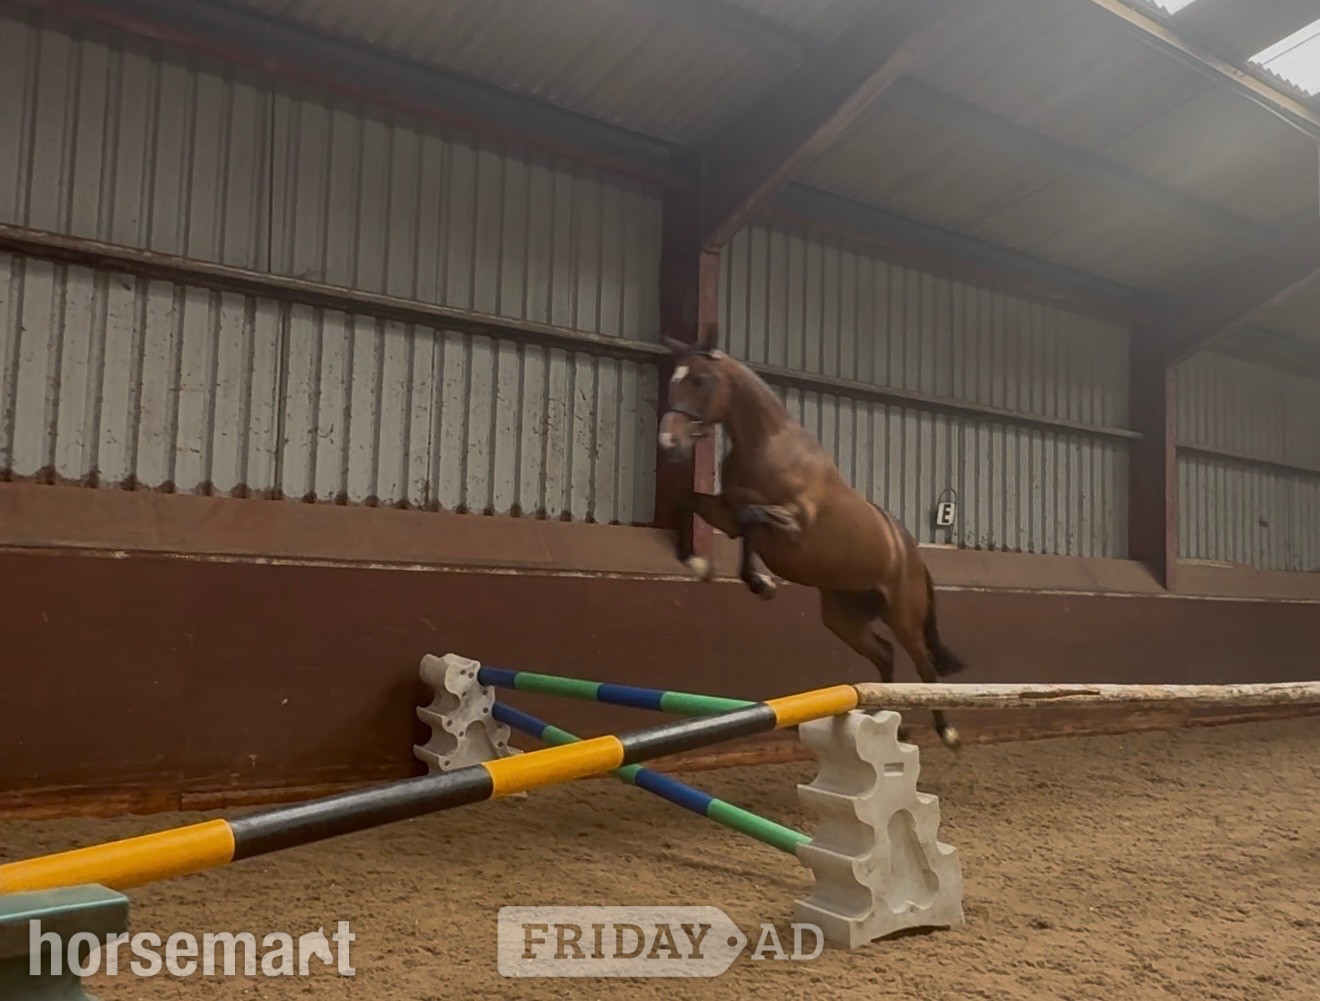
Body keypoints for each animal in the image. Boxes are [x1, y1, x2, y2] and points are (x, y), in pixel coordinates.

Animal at [657, 323, 966, 748]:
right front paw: (701, 564)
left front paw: (762, 583)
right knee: (885, 654)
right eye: (674, 379)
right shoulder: (726, 514)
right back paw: (886, 720)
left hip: (903, 616)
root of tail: (913, 556)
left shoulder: (794, 522)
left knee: (924, 667)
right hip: (843, 618)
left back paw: (947, 732)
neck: (765, 446)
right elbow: (693, 502)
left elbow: (752, 518)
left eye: (702, 380)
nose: (669, 444)